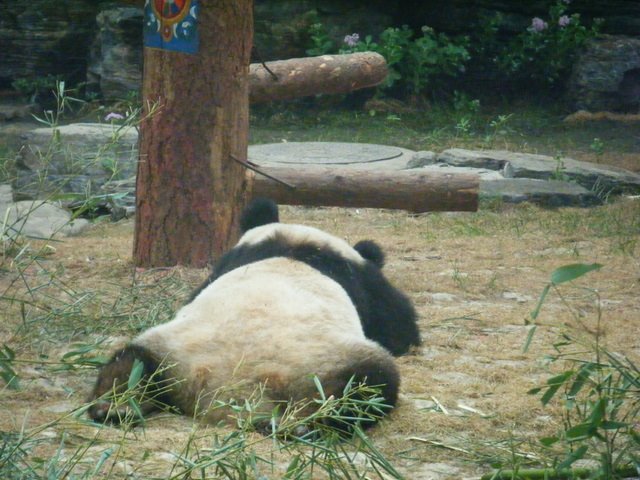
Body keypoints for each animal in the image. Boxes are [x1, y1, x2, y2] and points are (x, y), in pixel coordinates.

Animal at [88, 198, 420, 431]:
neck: (296, 247)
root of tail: (235, 391)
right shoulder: (364, 280)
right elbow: (398, 325)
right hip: (330, 361)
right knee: (369, 385)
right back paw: (310, 424)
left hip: (170, 350)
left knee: (132, 363)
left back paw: (116, 405)